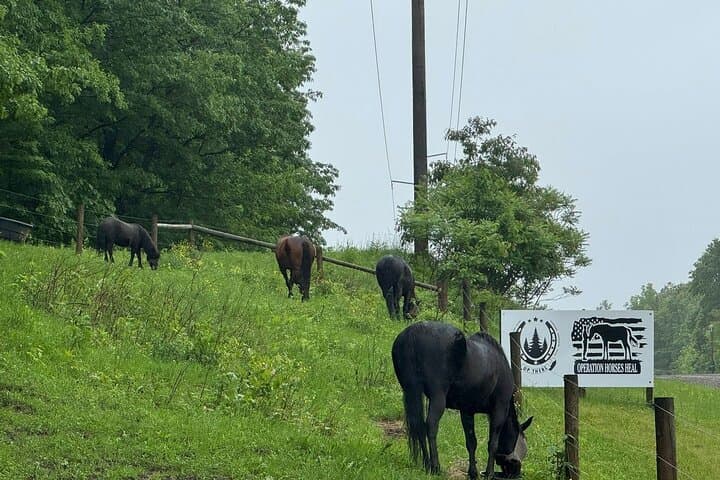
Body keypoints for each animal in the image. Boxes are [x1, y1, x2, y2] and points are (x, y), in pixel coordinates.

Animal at [392, 321, 533, 479]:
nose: (516, 473)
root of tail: (413, 333)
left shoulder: (467, 410)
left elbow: (471, 442)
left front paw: (473, 472)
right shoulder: (499, 409)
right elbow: (492, 443)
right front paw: (489, 473)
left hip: (411, 391)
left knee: (419, 426)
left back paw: (426, 464)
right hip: (437, 398)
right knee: (431, 425)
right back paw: (435, 466)